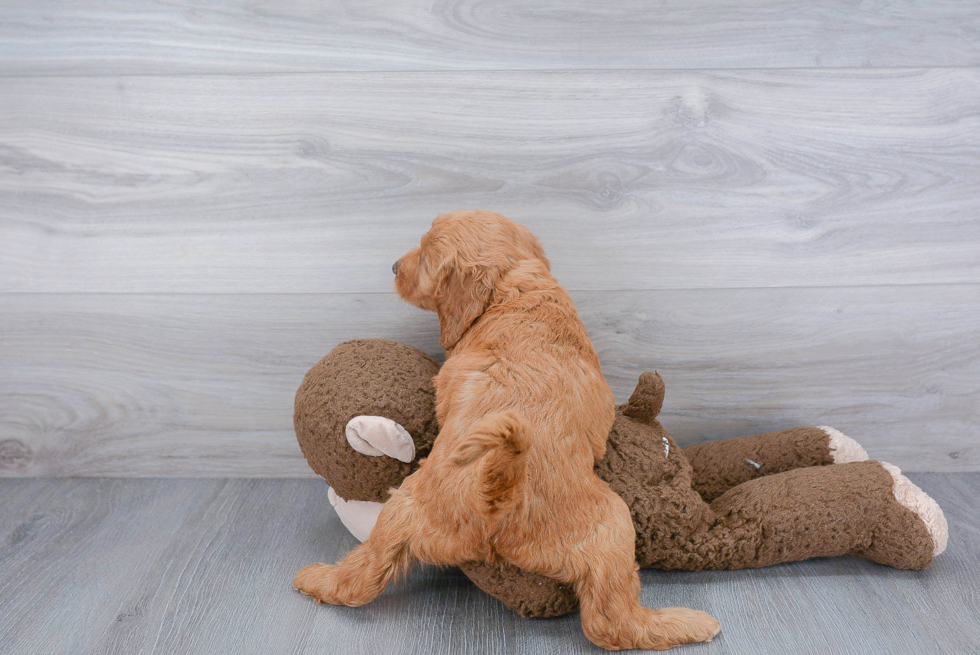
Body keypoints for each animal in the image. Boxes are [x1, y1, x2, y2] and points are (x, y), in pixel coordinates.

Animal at [290, 211, 720, 652]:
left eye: (426, 256)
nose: (394, 267)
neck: (516, 288)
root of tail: (495, 493)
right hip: (606, 527)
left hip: (414, 512)